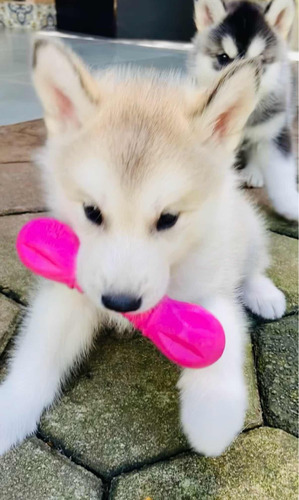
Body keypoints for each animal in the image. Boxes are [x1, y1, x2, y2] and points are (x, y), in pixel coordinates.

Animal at [0, 42, 288, 458]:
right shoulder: (72, 289)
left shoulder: (208, 288)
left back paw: (264, 294)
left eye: (168, 219)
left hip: (244, 229)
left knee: (251, 265)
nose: (119, 303)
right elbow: (38, 355)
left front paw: (212, 421)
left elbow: (221, 342)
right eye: (92, 211)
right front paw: (10, 408)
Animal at [191, 0, 298, 220]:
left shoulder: (276, 130)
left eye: (260, 61)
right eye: (223, 57)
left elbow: (282, 172)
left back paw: (253, 172)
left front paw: (291, 205)